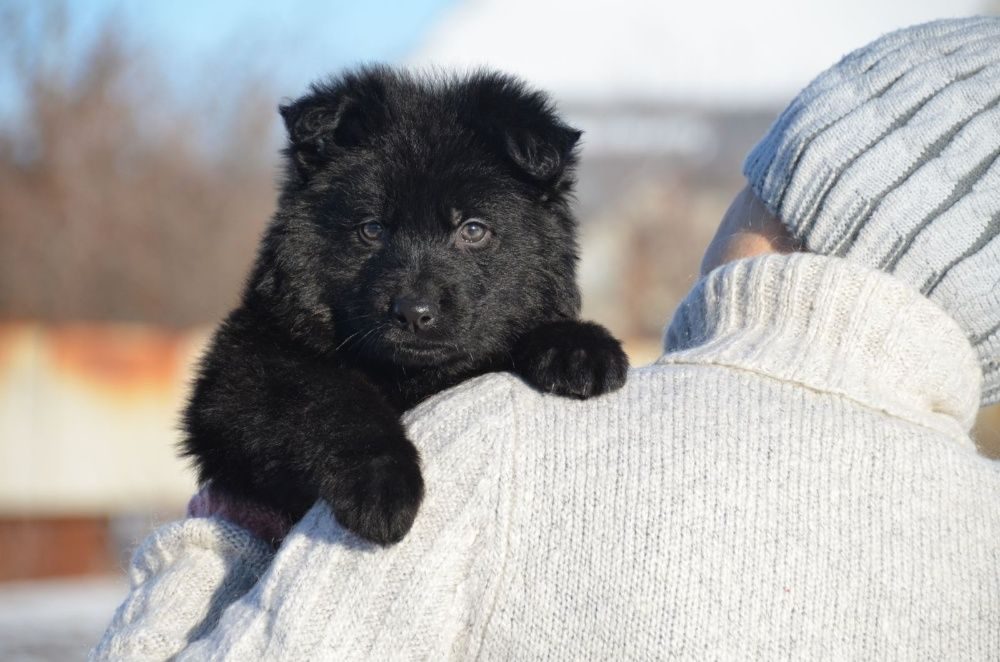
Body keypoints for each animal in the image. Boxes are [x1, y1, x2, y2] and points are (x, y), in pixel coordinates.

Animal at [182, 66, 624, 544]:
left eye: (473, 229)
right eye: (373, 229)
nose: (414, 313)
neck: (411, 376)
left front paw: (578, 347)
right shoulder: (244, 367)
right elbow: (328, 392)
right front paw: (382, 485)